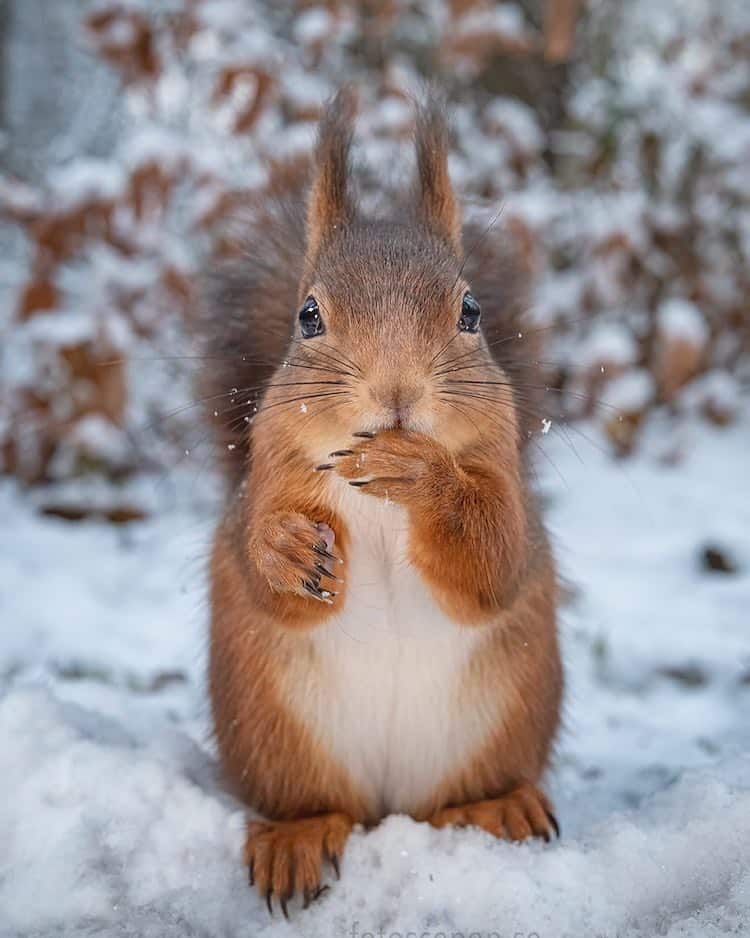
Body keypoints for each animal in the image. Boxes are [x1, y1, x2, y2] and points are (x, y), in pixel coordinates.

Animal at [200, 91, 564, 912]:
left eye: (471, 311)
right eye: (307, 315)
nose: (397, 391)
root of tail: (390, 806)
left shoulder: (506, 488)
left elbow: (494, 560)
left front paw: (421, 474)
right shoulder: (265, 481)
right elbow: (261, 564)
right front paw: (283, 548)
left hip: (504, 725)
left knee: (463, 796)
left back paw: (498, 805)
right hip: (274, 737)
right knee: (313, 803)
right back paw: (296, 838)